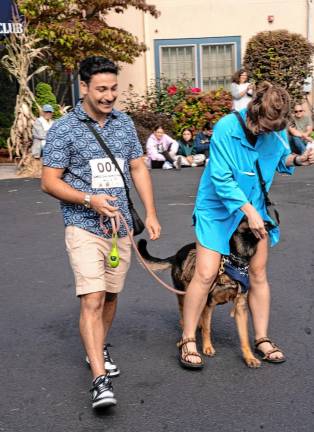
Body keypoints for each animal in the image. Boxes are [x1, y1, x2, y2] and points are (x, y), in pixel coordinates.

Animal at [137, 219, 272, 368]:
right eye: (245, 218)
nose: (269, 224)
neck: (235, 263)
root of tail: (176, 254)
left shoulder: (240, 307)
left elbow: (244, 338)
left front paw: (249, 357)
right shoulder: (209, 304)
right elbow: (208, 329)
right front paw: (207, 347)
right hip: (185, 294)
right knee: (184, 315)